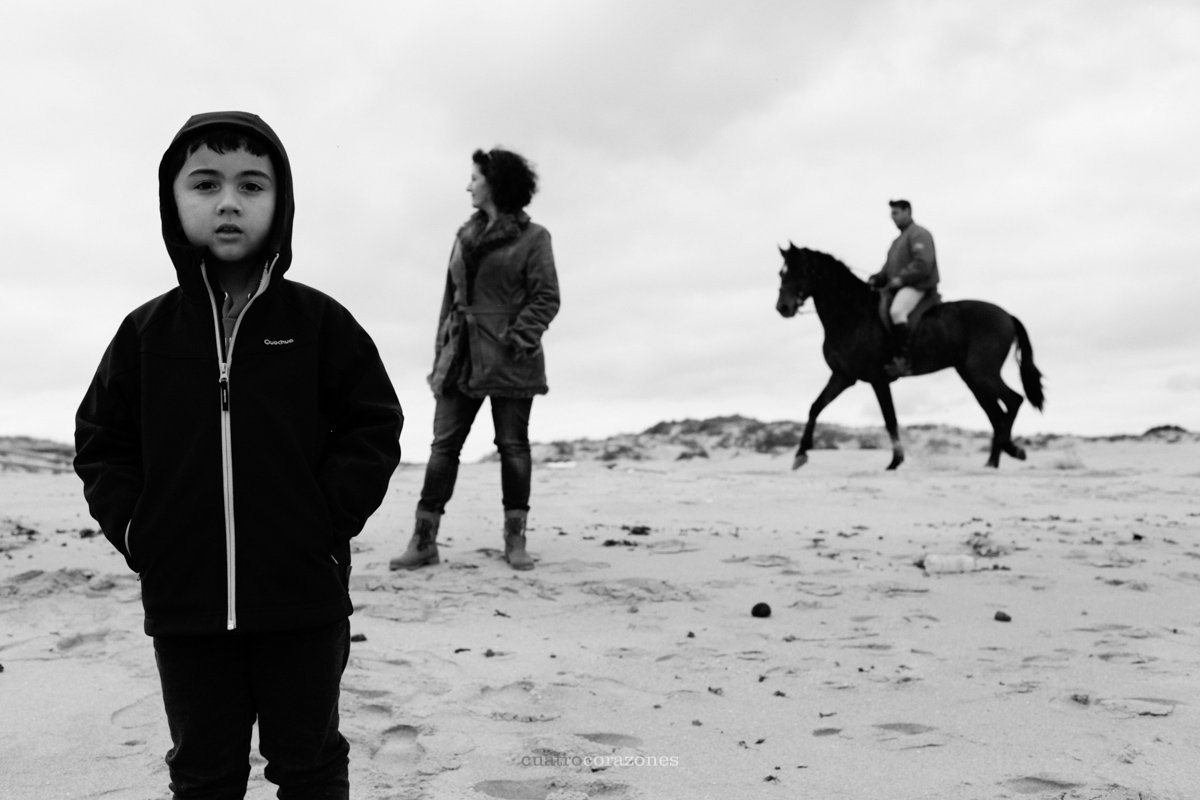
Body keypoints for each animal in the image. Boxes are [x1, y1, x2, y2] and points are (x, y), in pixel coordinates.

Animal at [777, 244, 1041, 470]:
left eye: (798, 272)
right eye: (781, 273)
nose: (782, 307)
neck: (852, 315)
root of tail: (1006, 315)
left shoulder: (878, 379)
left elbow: (890, 419)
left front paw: (896, 460)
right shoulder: (842, 377)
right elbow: (815, 407)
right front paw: (800, 454)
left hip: (982, 374)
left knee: (1014, 401)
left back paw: (1011, 449)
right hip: (973, 379)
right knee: (996, 415)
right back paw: (994, 461)